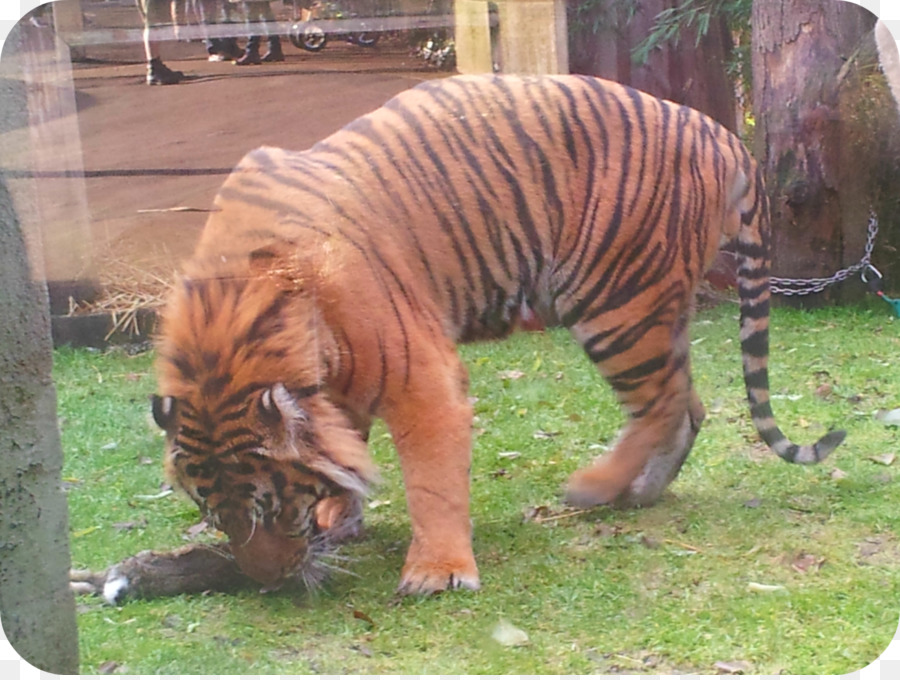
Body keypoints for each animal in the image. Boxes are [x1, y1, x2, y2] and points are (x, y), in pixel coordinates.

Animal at [151, 73, 848, 596]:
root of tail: (723, 133)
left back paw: (595, 487)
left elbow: (430, 479)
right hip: (652, 309)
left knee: (663, 404)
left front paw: (436, 573)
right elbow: (346, 446)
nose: (268, 583)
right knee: (686, 403)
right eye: (212, 514)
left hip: (614, 302)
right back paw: (638, 493)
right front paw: (340, 514)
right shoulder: (338, 387)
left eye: (270, 508)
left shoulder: (422, 377)